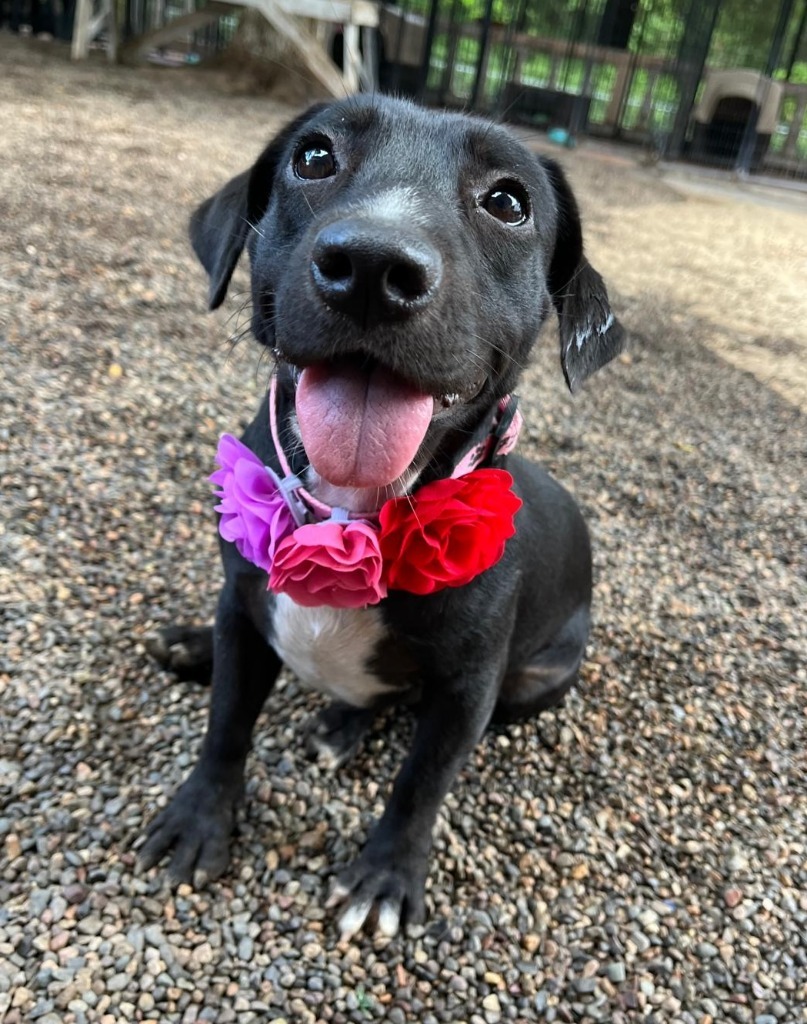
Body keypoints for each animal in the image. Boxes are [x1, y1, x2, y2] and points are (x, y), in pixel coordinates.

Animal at [143, 94, 622, 937]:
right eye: (313, 157)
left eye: (508, 202)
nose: (371, 266)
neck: (347, 512)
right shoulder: (242, 603)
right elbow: (226, 723)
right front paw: (199, 817)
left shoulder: (467, 689)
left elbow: (420, 782)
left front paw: (386, 876)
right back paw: (196, 647)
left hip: (535, 679)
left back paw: (343, 724)